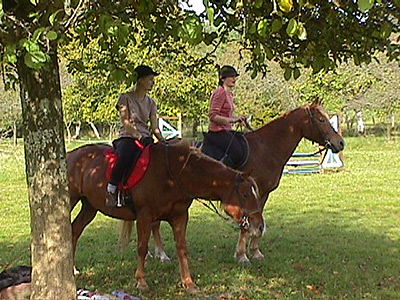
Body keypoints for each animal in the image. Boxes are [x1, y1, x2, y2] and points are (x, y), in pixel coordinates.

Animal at [67, 141, 264, 292]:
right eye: (245, 194)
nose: (259, 226)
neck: (175, 174)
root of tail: (70, 156)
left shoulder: (180, 216)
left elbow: (182, 248)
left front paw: (188, 283)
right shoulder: (145, 215)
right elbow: (142, 248)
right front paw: (141, 281)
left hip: (89, 207)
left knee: (74, 231)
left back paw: (73, 269)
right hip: (71, 200)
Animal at [130, 99, 344, 262]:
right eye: (321, 119)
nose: (340, 142)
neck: (266, 148)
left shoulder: (261, 194)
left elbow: (258, 218)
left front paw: (255, 251)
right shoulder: (247, 193)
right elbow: (247, 223)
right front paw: (242, 255)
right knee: (155, 224)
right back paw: (161, 254)